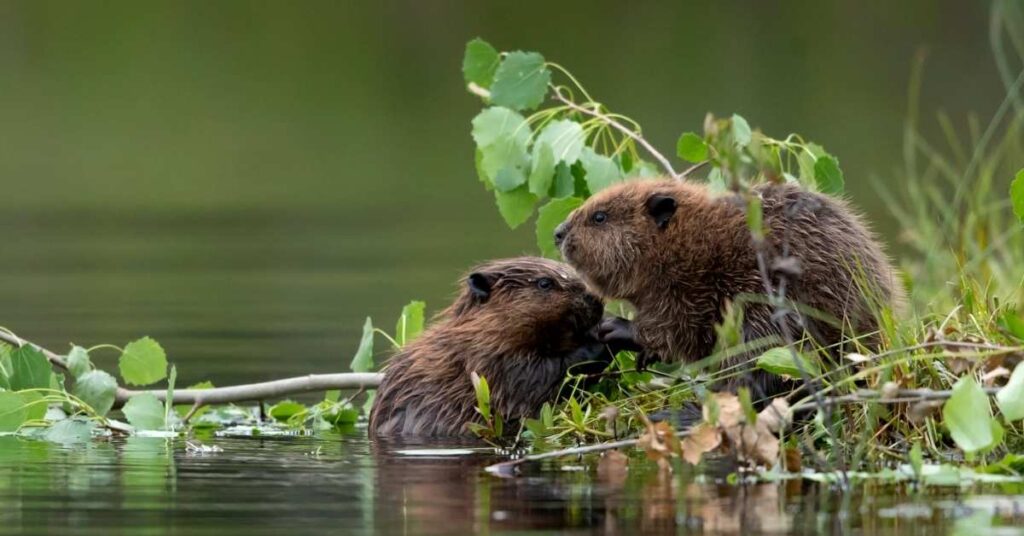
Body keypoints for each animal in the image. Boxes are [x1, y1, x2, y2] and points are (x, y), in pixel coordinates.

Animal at [368, 256, 606, 436]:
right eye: (545, 283)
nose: (596, 298)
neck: (478, 330)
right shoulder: (485, 358)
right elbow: (531, 380)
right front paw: (601, 342)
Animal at [557, 178, 901, 399]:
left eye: (599, 216)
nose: (558, 232)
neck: (691, 239)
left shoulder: (690, 285)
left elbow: (679, 330)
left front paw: (616, 328)